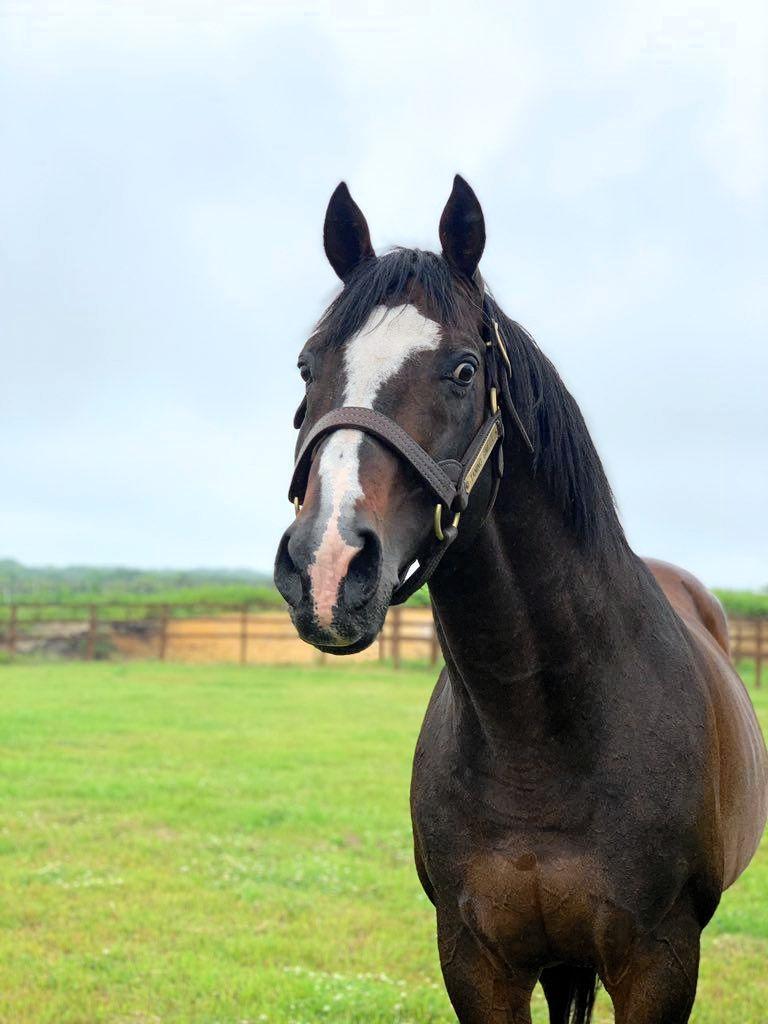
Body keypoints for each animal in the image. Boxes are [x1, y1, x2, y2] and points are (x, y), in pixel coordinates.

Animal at [274, 178, 765, 1024]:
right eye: (307, 369)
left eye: (465, 370)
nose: (328, 567)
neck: (539, 741)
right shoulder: (478, 960)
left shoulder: (660, 963)